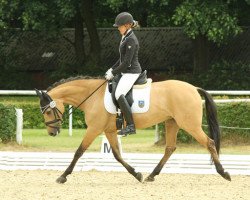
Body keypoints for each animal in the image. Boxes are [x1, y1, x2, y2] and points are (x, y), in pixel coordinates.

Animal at [35, 77, 230, 184]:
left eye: (48, 111)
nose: (52, 133)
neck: (92, 96)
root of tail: (193, 88)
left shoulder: (94, 128)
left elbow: (78, 152)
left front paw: (63, 176)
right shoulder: (109, 131)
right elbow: (116, 155)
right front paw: (137, 174)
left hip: (190, 124)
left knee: (209, 143)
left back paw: (224, 173)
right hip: (172, 123)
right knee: (169, 148)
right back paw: (151, 175)